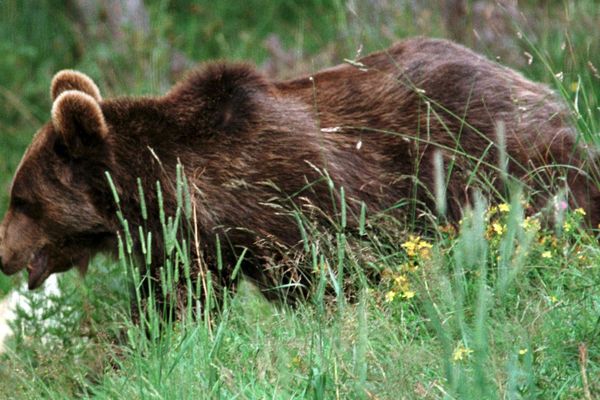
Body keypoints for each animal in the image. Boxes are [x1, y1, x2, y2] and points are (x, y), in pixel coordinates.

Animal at [0, 37, 596, 300]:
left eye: (20, 200)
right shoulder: (187, 247)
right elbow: (179, 301)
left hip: (488, 153)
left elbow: (332, 277)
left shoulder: (294, 201)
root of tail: (531, 81)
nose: (2, 254)